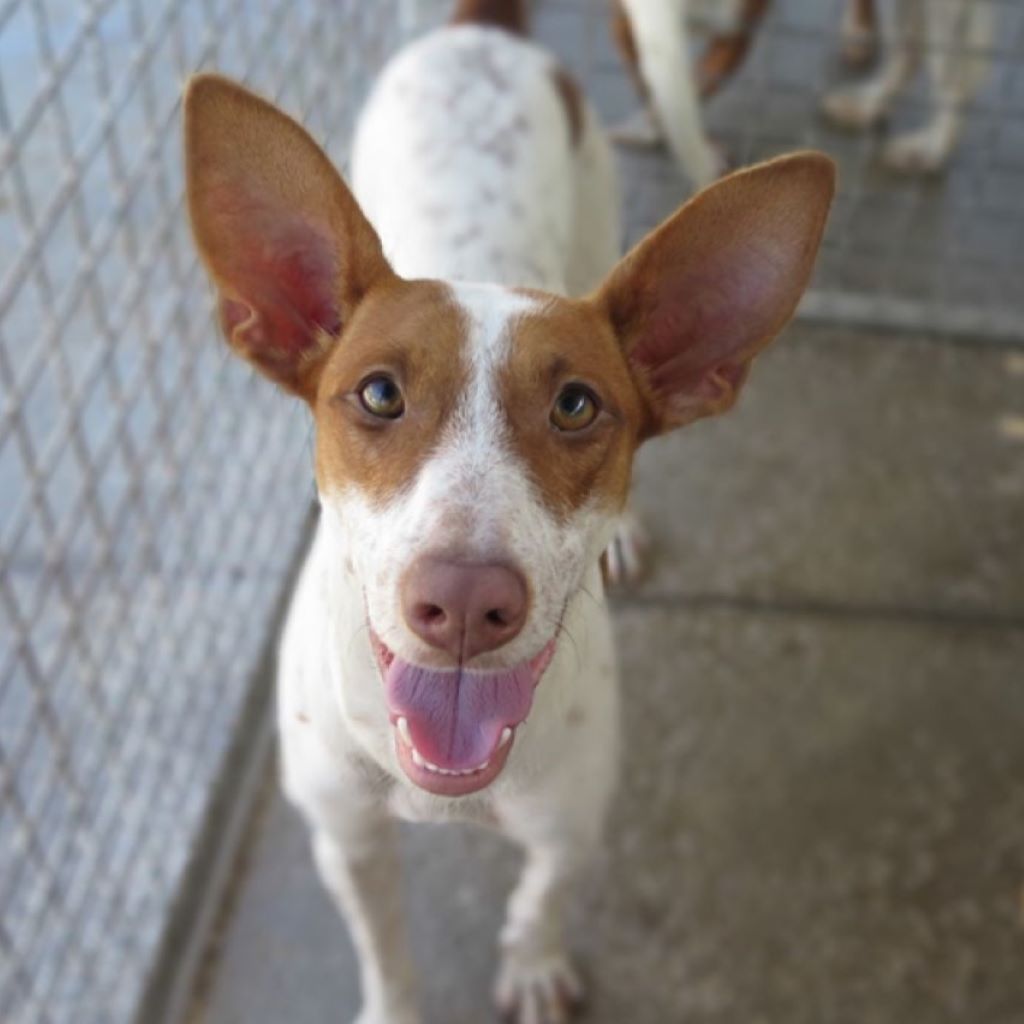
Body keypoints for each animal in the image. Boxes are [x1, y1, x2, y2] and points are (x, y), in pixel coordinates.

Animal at [184, 2, 835, 1024]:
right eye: (378, 394)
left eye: (576, 406)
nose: (462, 601)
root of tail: (483, 29)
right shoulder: (345, 839)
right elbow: (384, 951)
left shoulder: (571, 822)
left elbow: (539, 896)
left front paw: (531, 965)